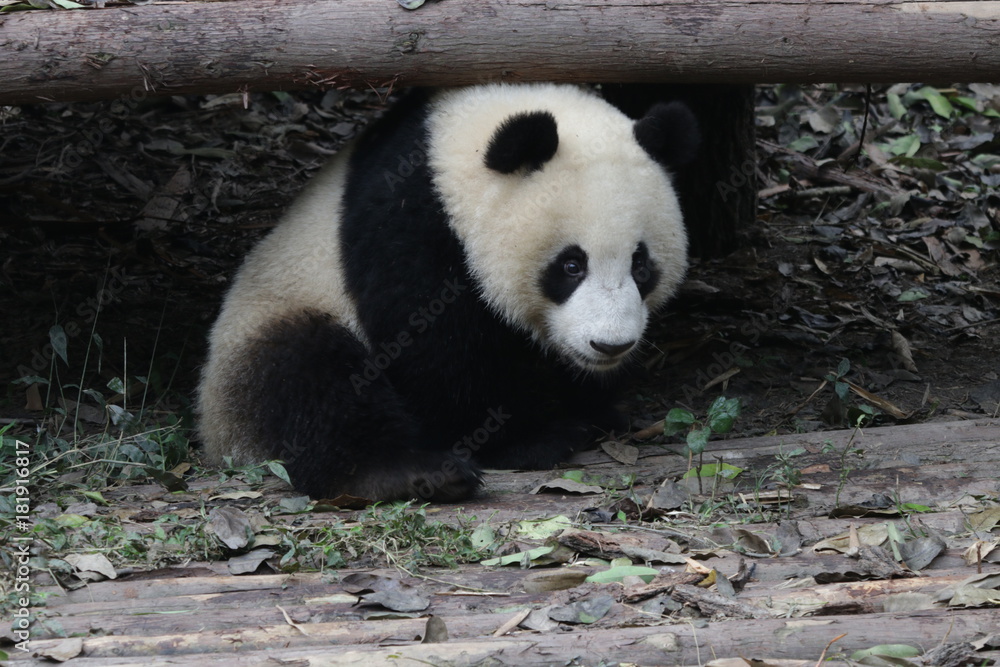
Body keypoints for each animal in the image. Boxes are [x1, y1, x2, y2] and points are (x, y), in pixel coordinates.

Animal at [197, 83, 698, 502]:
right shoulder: (411, 223)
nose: (610, 345)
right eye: (571, 265)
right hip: (266, 320)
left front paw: (596, 409)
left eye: (640, 265)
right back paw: (401, 473)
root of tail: (214, 437)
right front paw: (528, 439)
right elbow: (436, 353)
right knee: (306, 373)